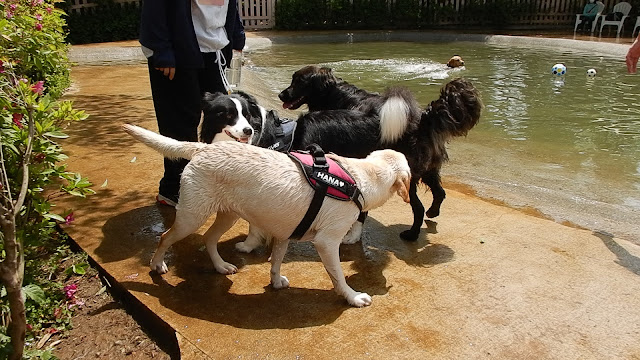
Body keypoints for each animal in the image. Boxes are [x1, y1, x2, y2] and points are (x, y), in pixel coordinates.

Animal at [123, 124, 412, 306]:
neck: (359, 178)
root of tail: (203, 147)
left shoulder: (284, 233)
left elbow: (276, 262)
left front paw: (275, 282)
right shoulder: (327, 242)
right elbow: (338, 275)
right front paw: (352, 297)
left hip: (227, 215)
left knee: (208, 239)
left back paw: (221, 266)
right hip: (191, 217)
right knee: (164, 236)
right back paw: (157, 265)